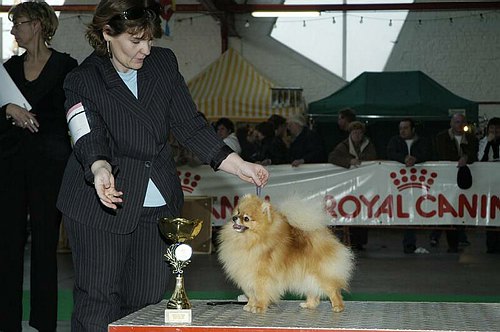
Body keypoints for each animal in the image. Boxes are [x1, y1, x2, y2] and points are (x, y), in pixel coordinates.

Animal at [217, 193, 354, 312]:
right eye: (237, 212)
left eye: (246, 218)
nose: (234, 218)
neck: (252, 239)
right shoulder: (246, 276)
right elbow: (251, 294)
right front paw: (250, 305)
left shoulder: (261, 277)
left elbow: (260, 293)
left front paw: (259, 307)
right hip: (307, 276)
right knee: (313, 291)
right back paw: (308, 304)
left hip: (322, 274)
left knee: (333, 290)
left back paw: (338, 307)